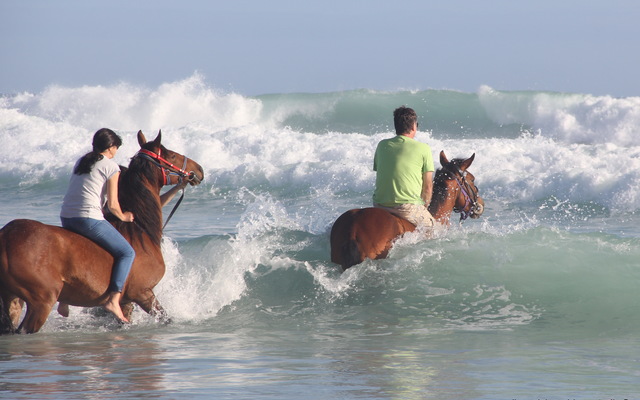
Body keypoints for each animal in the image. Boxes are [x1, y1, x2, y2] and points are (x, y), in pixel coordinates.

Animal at [0, 130, 204, 334]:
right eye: (172, 155)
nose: (199, 170)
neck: (139, 230)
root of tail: (6, 237)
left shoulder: (127, 301)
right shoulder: (142, 294)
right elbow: (166, 318)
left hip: (13, 300)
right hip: (41, 302)